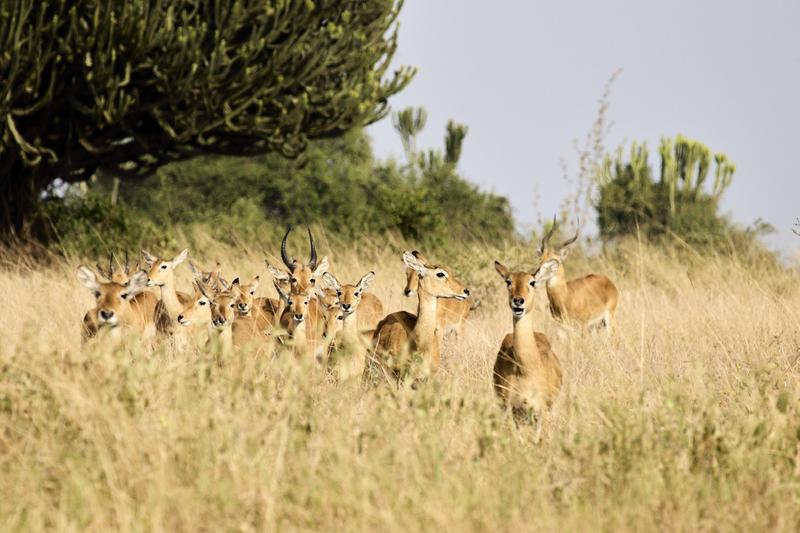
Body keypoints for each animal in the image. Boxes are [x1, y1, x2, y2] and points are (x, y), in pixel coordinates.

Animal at [494, 260, 564, 438]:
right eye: (508, 281)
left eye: (532, 282)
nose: (518, 301)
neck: (526, 370)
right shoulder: (511, 409)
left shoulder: (540, 411)